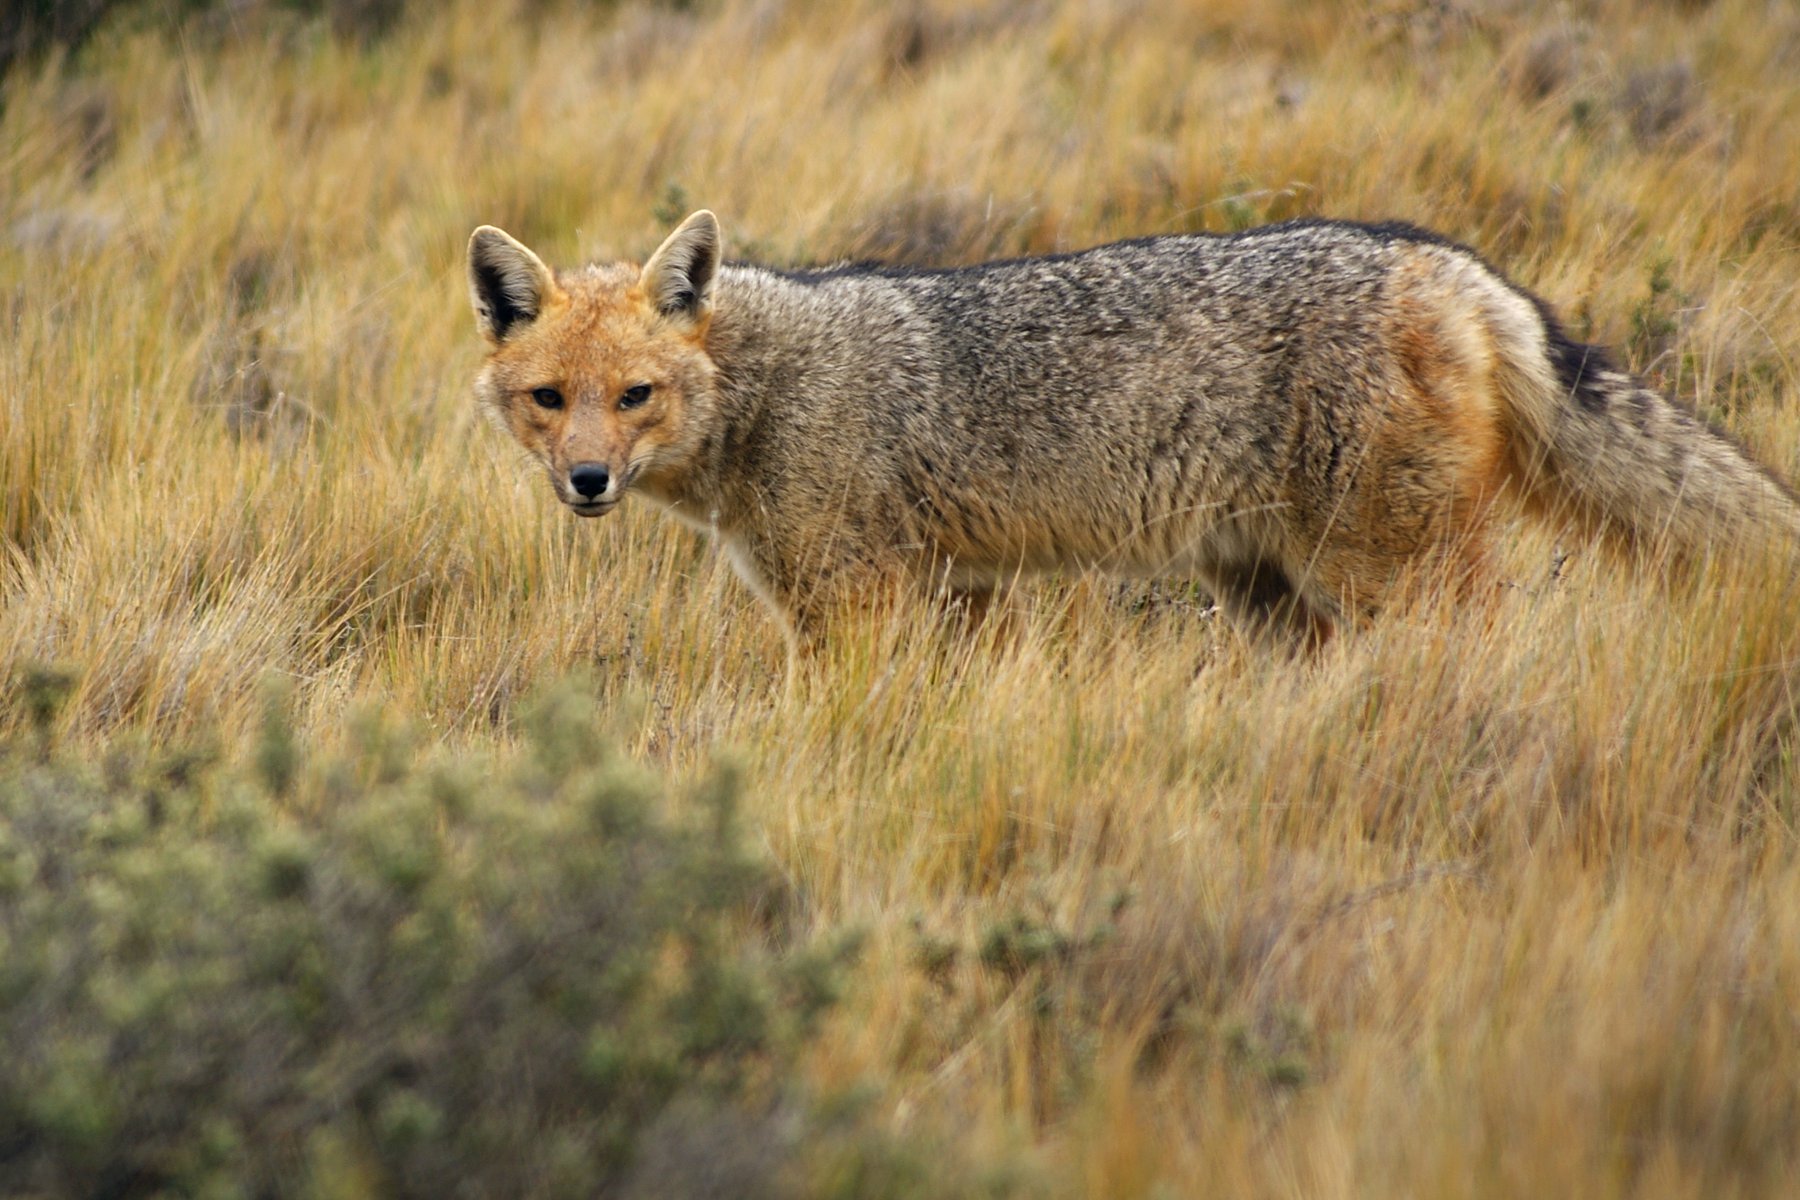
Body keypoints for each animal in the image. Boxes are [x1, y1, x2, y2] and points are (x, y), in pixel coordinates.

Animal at [468, 211, 1800, 651]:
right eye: (551, 401)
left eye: (635, 398)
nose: (587, 482)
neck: (770, 382)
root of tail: (1442, 260)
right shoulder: (959, 593)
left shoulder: (857, 602)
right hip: (1275, 597)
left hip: (1385, 578)